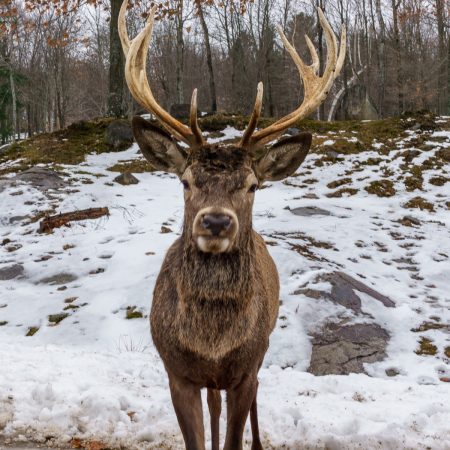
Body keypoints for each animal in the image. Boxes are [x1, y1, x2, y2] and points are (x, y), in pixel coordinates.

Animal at [118, 1, 344, 448]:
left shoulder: (246, 369)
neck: (212, 343)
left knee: (252, 400)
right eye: (185, 181)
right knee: (214, 404)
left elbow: (234, 434)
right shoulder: (177, 372)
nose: (217, 221)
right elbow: (198, 435)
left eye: (252, 185)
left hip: (262, 352)